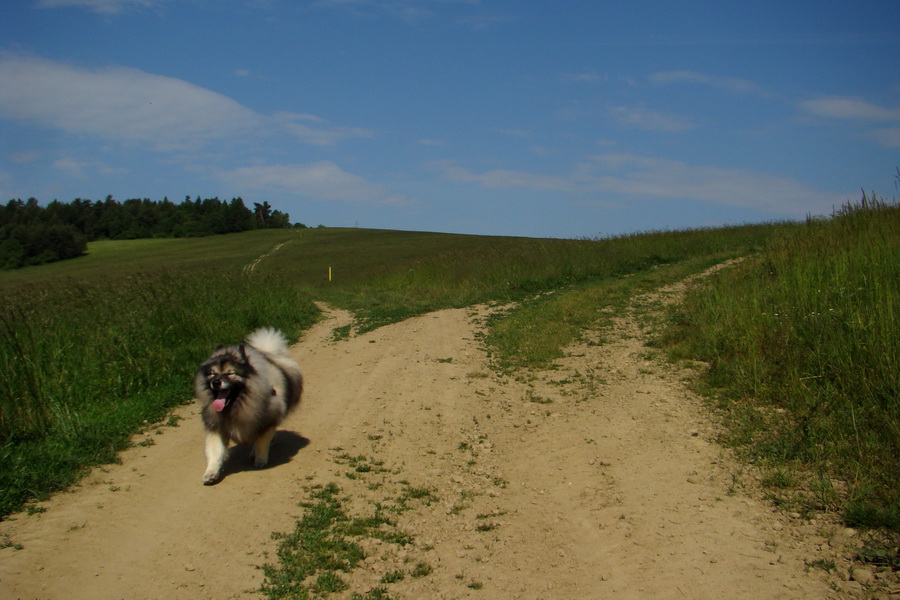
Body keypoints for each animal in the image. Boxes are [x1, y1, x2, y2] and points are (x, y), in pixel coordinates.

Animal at [193, 326, 302, 486]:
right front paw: (211, 473)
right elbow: (215, 450)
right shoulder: (217, 425)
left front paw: (260, 460)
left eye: (230, 373)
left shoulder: (265, 419)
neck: (236, 405)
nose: (216, 382)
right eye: (212, 374)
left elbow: (262, 441)